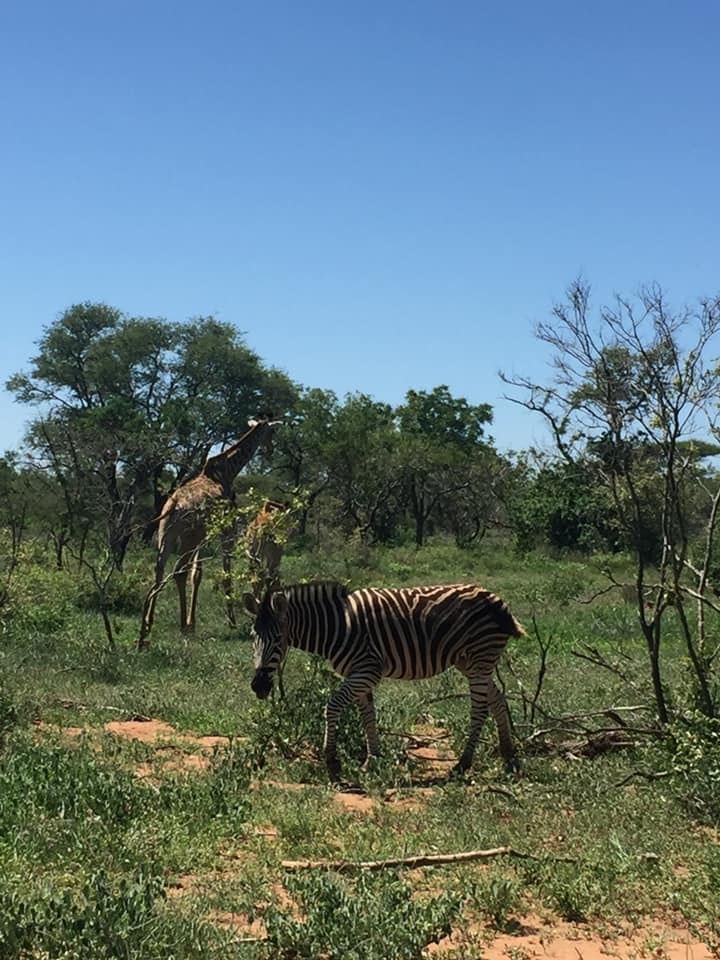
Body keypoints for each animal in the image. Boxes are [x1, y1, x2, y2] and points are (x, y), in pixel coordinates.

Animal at [138, 418, 279, 648]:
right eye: (272, 432)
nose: (270, 450)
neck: (227, 471)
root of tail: (173, 506)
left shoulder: (205, 536)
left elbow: (197, 575)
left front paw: (193, 622)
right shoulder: (225, 530)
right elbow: (225, 573)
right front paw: (231, 622)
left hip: (166, 535)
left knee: (159, 571)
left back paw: (146, 628)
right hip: (188, 538)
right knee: (178, 572)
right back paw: (180, 626)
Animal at [243, 580, 524, 783]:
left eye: (278, 639)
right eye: (252, 636)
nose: (258, 686)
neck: (338, 626)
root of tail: (496, 600)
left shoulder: (367, 670)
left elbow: (332, 707)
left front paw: (332, 762)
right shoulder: (359, 673)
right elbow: (368, 715)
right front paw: (372, 760)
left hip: (479, 658)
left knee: (480, 709)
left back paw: (463, 763)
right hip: (471, 662)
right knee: (497, 699)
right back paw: (509, 756)